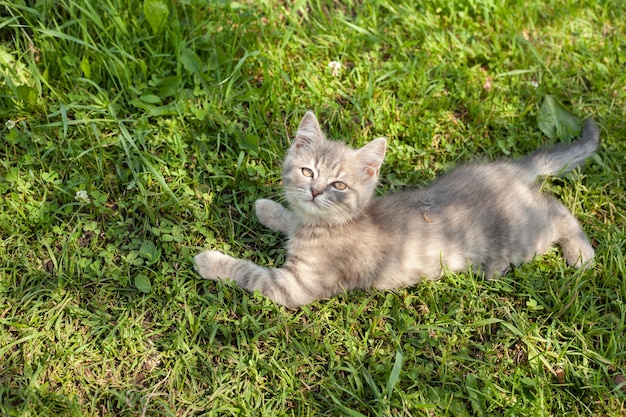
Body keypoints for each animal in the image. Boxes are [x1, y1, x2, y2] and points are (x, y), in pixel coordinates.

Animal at [194, 112, 596, 308]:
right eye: (308, 171)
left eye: (339, 186)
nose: (315, 190)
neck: (326, 226)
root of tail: (509, 170)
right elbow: (289, 219)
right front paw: (268, 209)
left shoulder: (297, 287)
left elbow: (249, 273)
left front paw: (210, 261)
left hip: (524, 237)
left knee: (558, 209)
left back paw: (581, 253)